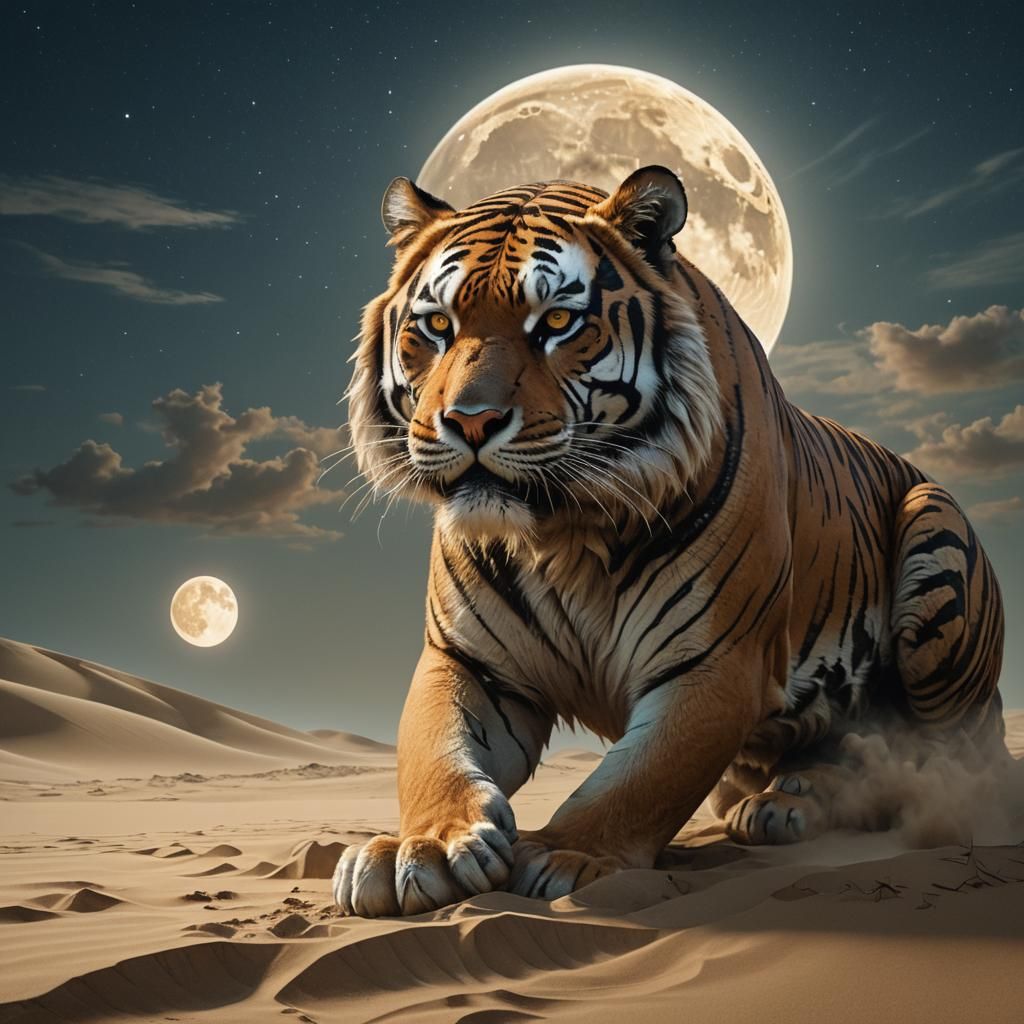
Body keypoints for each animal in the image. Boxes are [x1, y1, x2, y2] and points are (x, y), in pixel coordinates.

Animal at [333, 165, 1007, 918]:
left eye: (557, 322)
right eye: (438, 326)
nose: (469, 421)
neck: (562, 537)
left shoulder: (715, 662)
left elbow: (644, 777)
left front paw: (569, 856)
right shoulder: (469, 662)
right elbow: (434, 754)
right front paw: (421, 849)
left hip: (933, 536)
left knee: (943, 759)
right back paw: (784, 802)